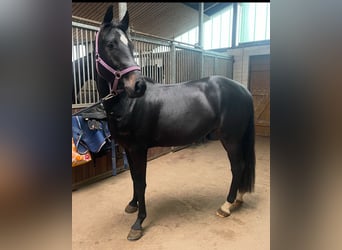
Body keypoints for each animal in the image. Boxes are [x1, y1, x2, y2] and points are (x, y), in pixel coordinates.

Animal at [95, 5, 255, 240]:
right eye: (110, 44)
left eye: (130, 46)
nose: (138, 85)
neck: (128, 103)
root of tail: (243, 89)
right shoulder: (128, 149)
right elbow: (133, 178)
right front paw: (132, 205)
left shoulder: (139, 149)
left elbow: (141, 182)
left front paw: (138, 223)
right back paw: (239, 199)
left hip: (231, 139)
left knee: (238, 166)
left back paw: (226, 206)